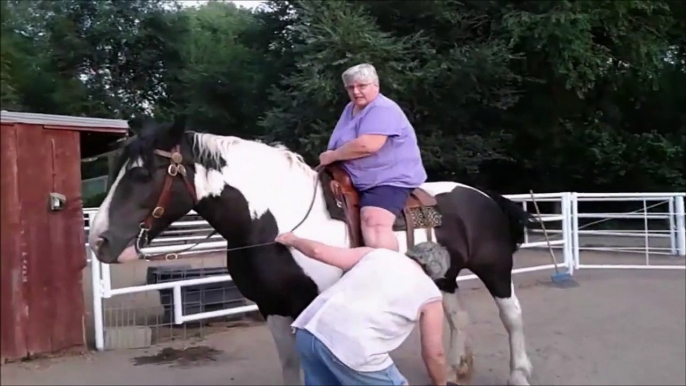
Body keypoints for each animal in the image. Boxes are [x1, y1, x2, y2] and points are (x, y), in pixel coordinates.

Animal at [86, 118, 536, 386]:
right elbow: (291, 365)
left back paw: (518, 374)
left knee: (513, 317)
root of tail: (485, 196)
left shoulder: (308, 303)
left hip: (496, 269)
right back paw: (457, 370)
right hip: (443, 277)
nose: (100, 241)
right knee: (458, 317)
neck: (273, 220)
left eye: (143, 174)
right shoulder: (272, 307)